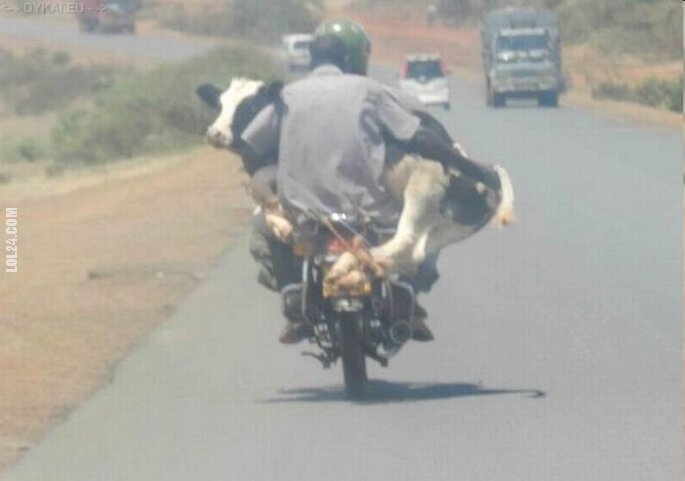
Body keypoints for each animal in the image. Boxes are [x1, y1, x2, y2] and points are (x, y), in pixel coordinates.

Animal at [194, 79, 512, 278]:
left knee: (404, 239)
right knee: (411, 253)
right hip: (443, 227)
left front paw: (282, 223)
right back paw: (354, 264)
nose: (215, 133)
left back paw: (347, 263)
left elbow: (260, 187)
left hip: (422, 189)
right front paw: (280, 223)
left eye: (249, 107)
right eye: (220, 104)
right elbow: (263, 202)